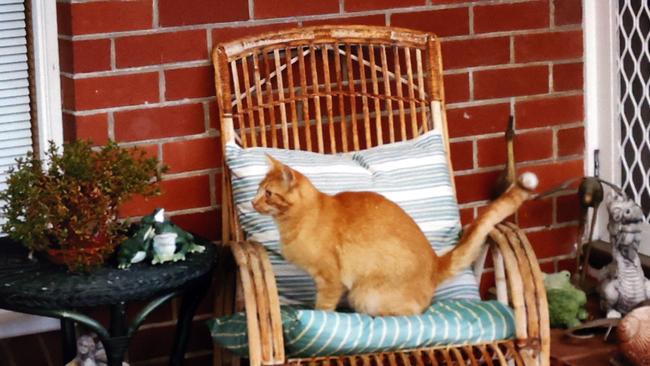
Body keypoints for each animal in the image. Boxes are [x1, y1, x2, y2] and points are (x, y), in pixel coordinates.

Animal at [251, 156, 536, 316]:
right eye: (257, 190)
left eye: (268, 193)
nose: (253, 203)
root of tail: (435, 262)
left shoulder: (330, 280)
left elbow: (323, 308)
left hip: (363, 294)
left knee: (413, 312)